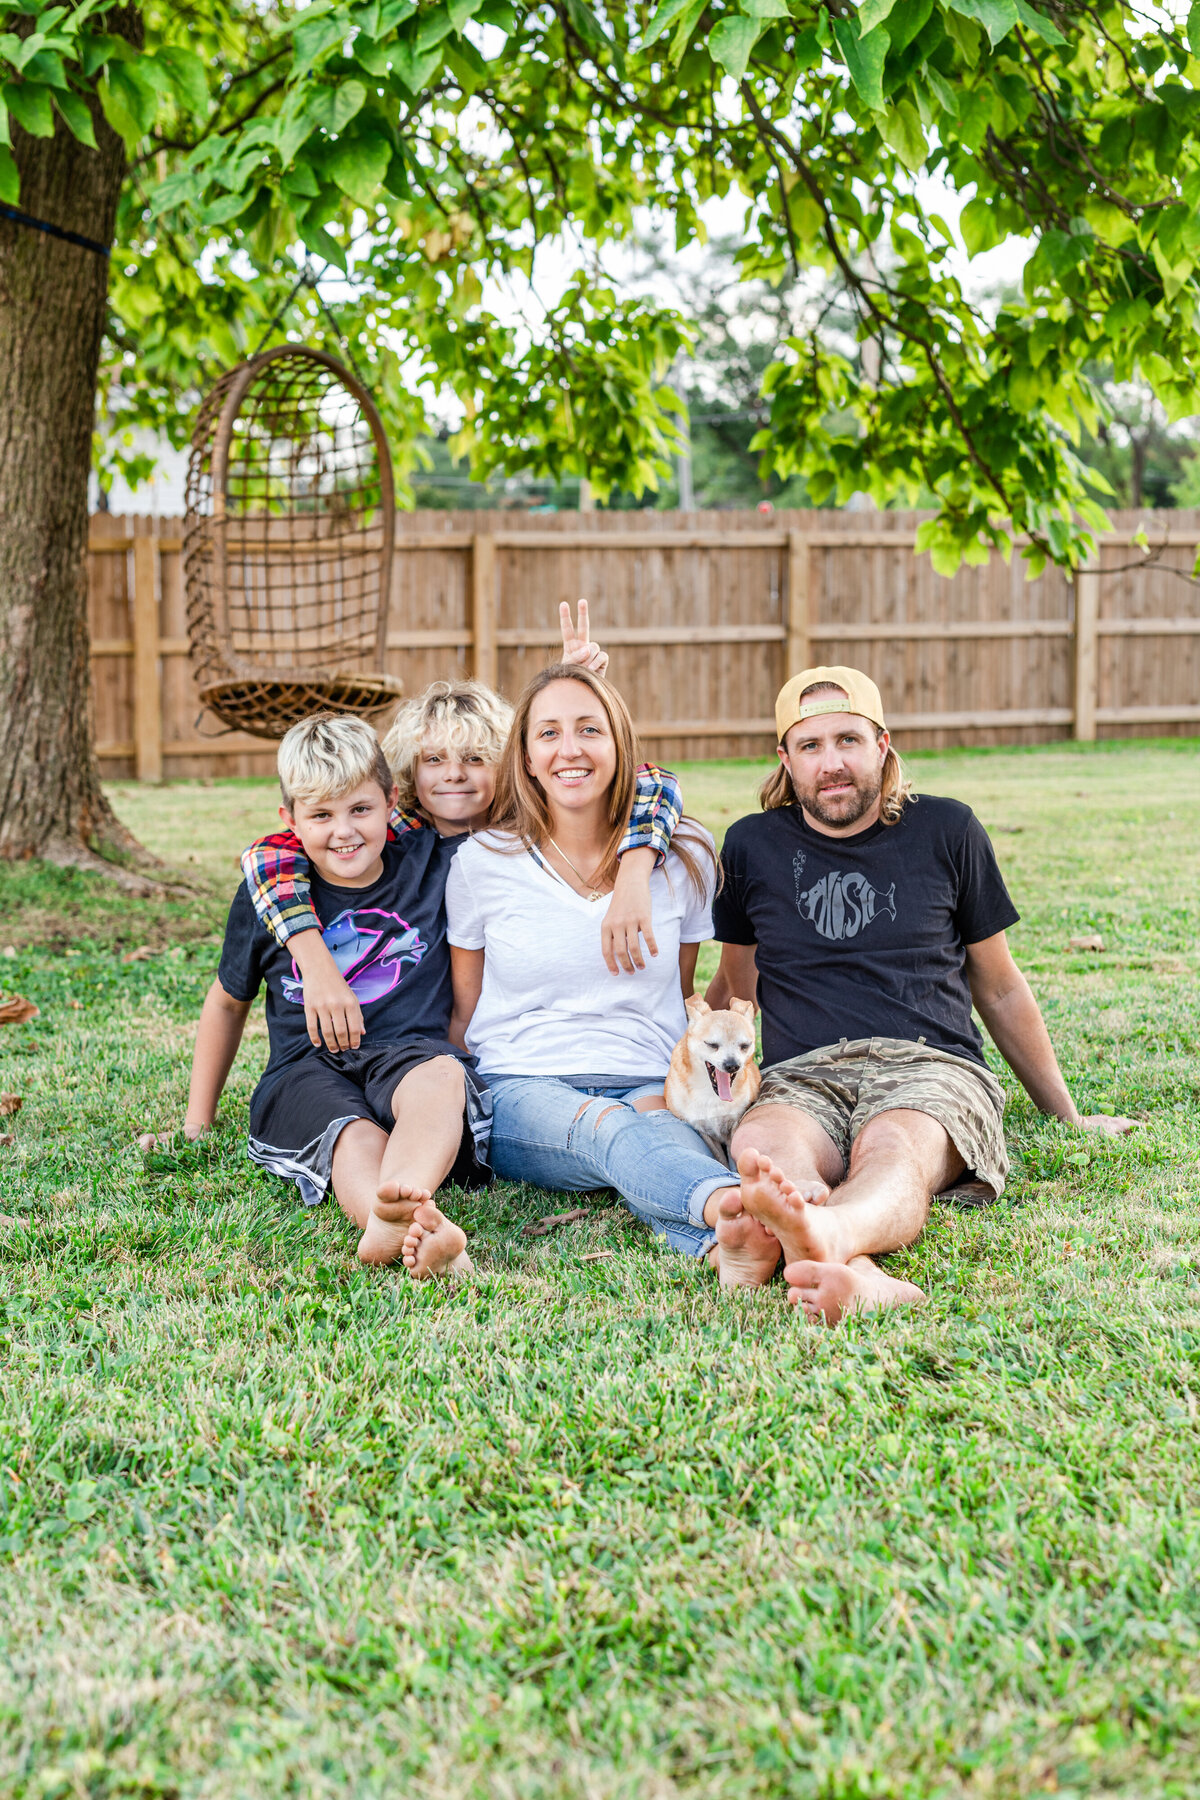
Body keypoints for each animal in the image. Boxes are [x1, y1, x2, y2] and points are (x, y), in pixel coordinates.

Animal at [665, 993, 759, 1159]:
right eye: (711, 1045)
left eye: (745, 1046)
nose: (732, 1064)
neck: (712, 1096)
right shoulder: (704, 1131)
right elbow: (721, 1159)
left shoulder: (733, 1126)